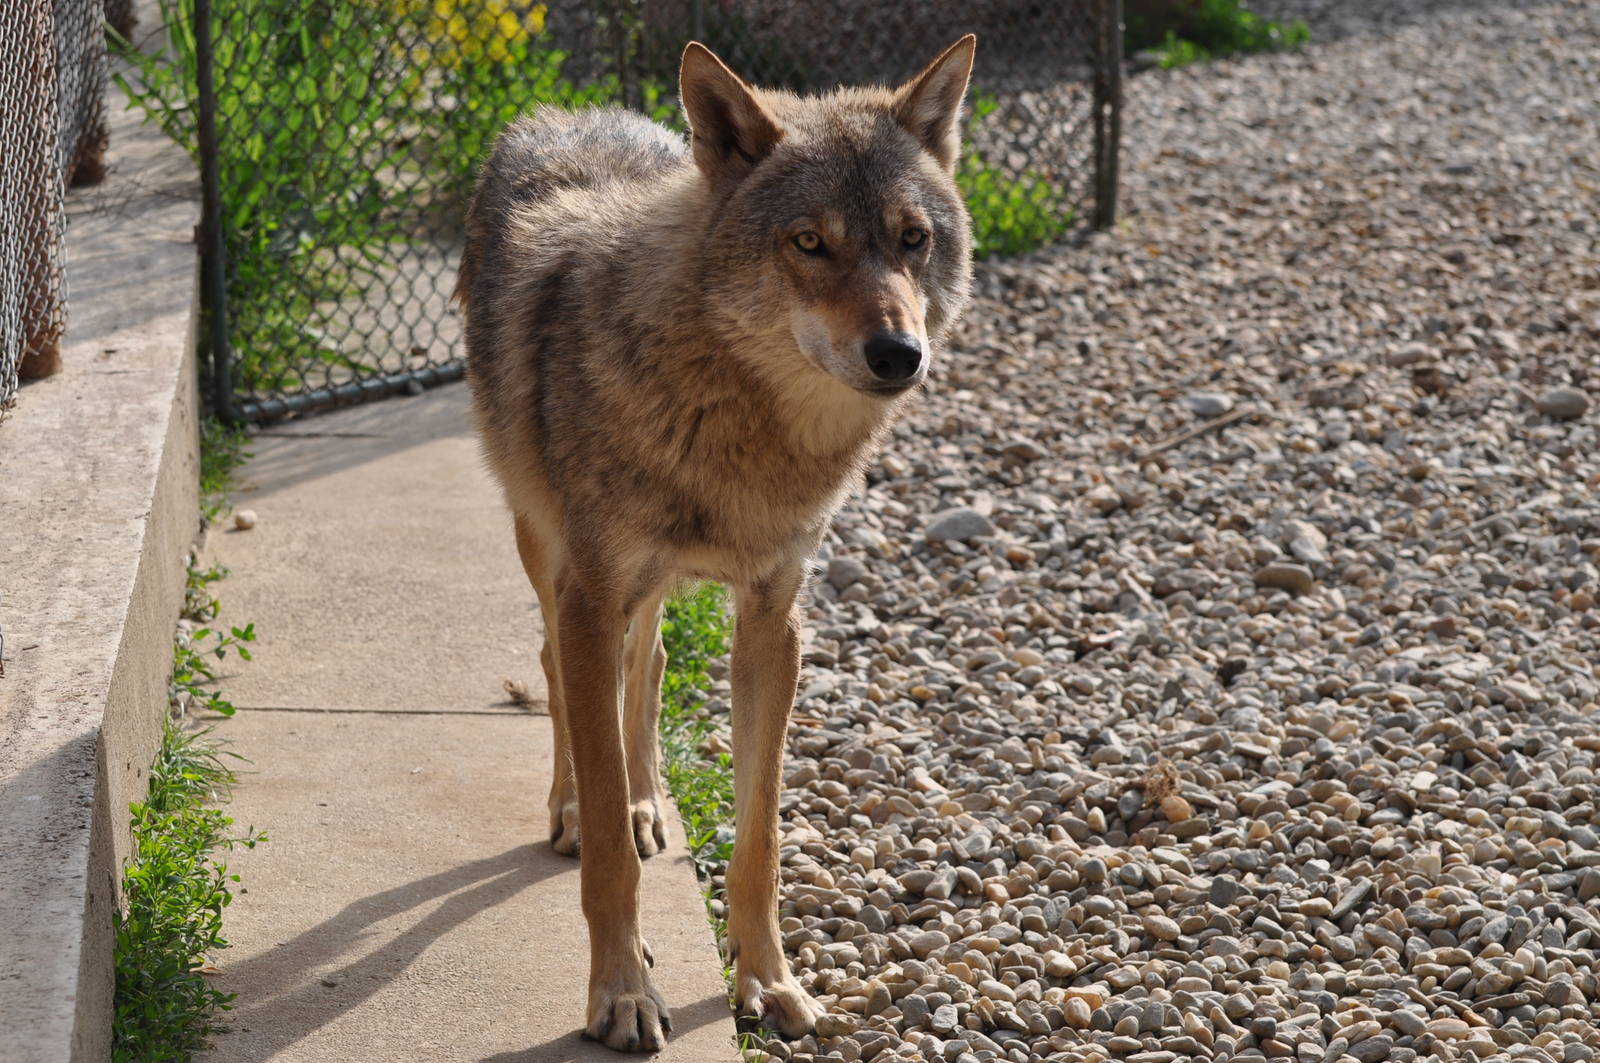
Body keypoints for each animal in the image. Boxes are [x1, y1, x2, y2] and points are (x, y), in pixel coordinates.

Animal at [456, 35, 977, 1052]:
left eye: (912, 239)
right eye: (809, 242)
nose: (899, 354)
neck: (739, 429)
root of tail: (563, 108)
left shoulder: (774, 619)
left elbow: (760, 834)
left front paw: (769, 981)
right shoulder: (589, 594)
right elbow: (610, 860)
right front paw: (622, 994)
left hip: (643, 588)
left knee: (648, 662)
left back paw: (646, 800)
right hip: (547, 551)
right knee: (561, 672)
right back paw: (577, 806)